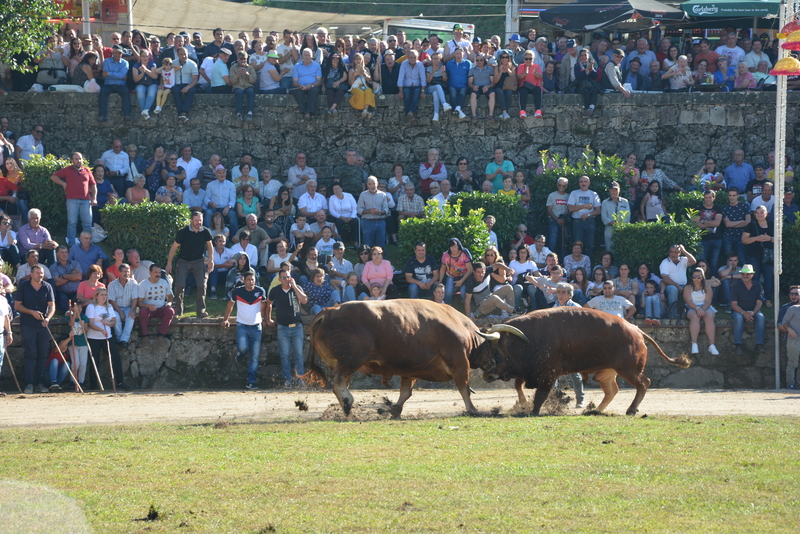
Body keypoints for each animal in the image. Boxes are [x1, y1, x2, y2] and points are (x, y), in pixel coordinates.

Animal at [304, 302, 528, 418]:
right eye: (496, 352)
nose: (494, 373)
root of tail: (328, 311)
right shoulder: (459, 362)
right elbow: (464, 388)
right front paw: (473, 409)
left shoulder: (409, 371)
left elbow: (406, 392)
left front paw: (395, 410)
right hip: (350, 360)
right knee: (338, 382)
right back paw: (348, 403)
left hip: (342, 362)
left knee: (340, 383)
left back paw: (346, 408)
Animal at [478, 308, 692, 416]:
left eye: (497, 353)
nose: (487, 374)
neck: (526, 340)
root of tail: (637, 330)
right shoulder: (526, 373)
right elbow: (518, 386)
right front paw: (522, 405)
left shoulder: (548, 374)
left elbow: (540, 396)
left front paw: (533, 412)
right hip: (607, 373)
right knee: (612, 390)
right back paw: (596, 410)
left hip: (629, 370)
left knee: (643, 383)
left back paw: (631, 410)